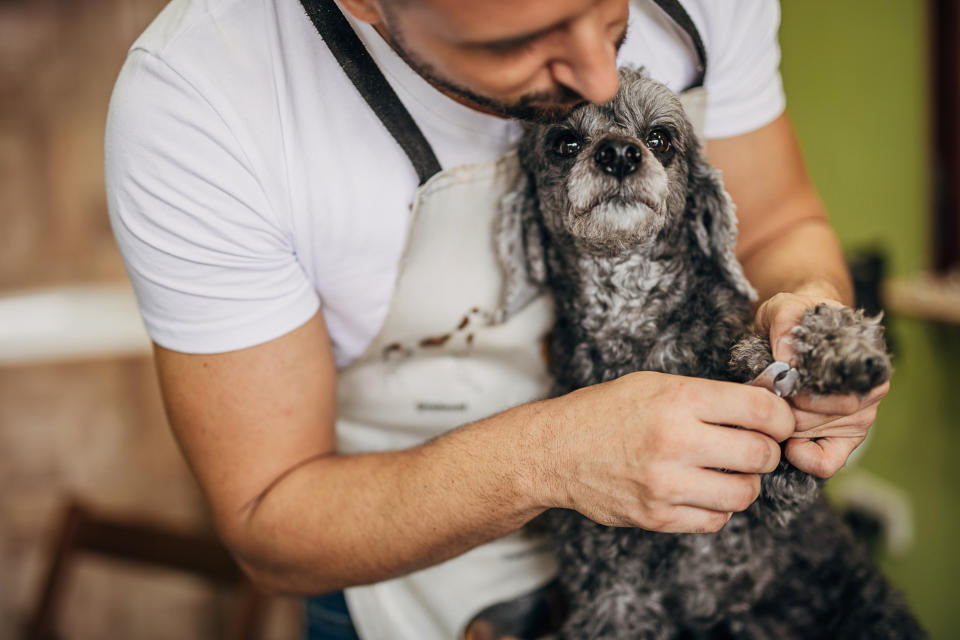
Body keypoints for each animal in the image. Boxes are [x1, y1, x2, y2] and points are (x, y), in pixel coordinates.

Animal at [496, 67, 924, 636]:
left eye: (660, 138)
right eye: (564, 143)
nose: (619, 153)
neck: (631, 309)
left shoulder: (785, 491)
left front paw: (836, 350)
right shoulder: (614, 594)